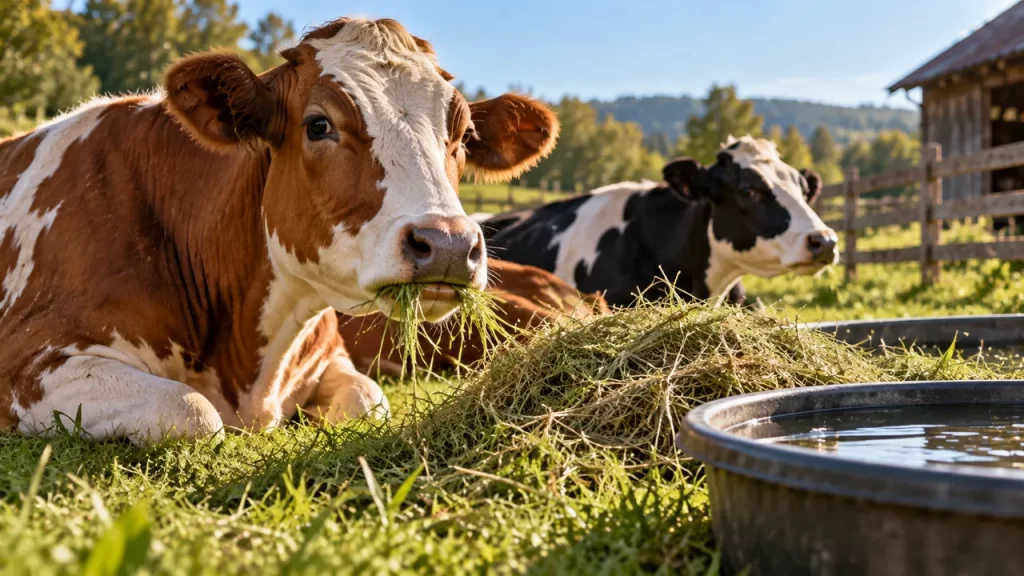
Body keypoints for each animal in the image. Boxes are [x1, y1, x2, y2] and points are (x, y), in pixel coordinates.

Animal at [0, 17, 559, 443]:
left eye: (463, 136)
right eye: (318, 124)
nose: (448, 243)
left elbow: (369, 399)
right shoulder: (27, 361)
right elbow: (190, 410)